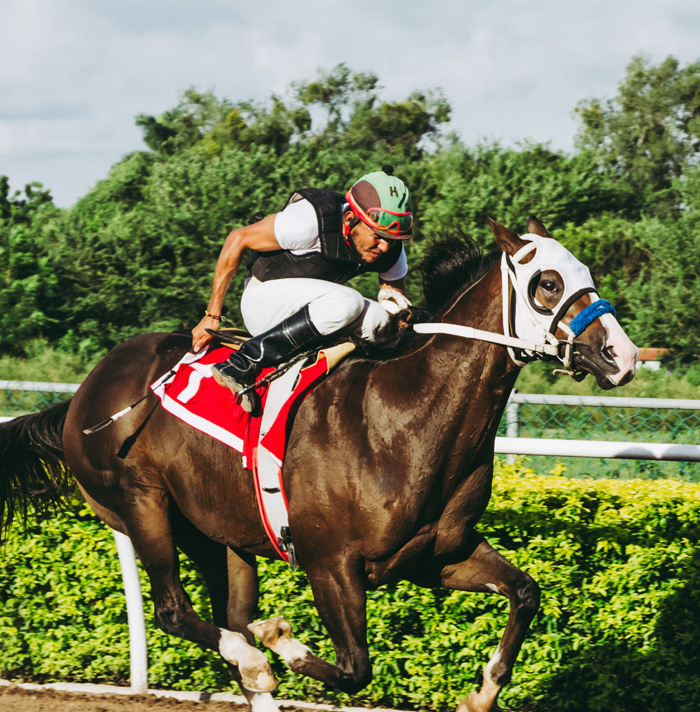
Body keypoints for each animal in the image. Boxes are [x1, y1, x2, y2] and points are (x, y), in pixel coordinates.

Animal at [0, 217, 638, 712]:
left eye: (586, 273)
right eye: (547, 283)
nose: (623, 356)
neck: (401, 417)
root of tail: (82, 396)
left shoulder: (437, 555)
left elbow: (525, 592)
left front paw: (480, 693)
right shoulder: (329, 563)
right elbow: (355, 668)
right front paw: (278, 639)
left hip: (219, 536)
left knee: (229, 615)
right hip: (140, 502)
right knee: (176, 613)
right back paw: (255, 654)